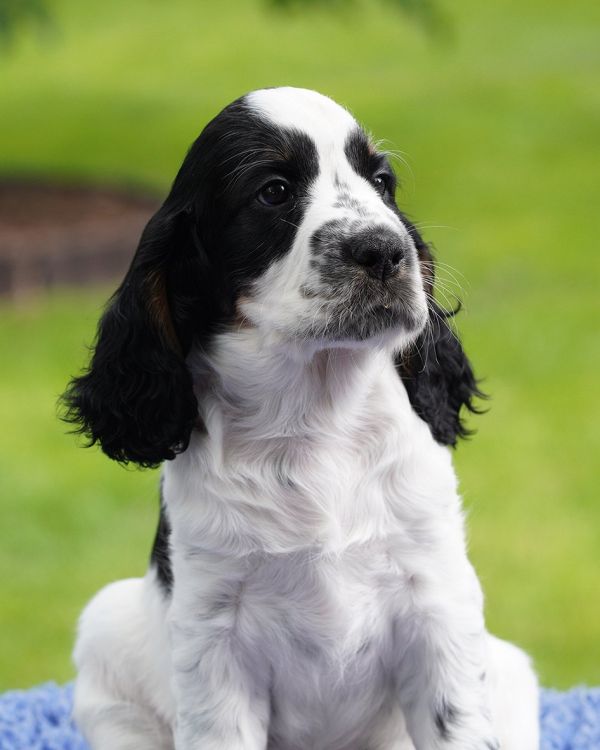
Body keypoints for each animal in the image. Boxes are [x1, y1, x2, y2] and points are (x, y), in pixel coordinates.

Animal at [63, 89, 540, 750]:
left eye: (383, 183)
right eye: (274, 191)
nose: (385, 251)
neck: (316, 418)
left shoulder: (438, 604)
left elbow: (458, 725)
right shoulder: (214, 635)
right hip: (106, 635)